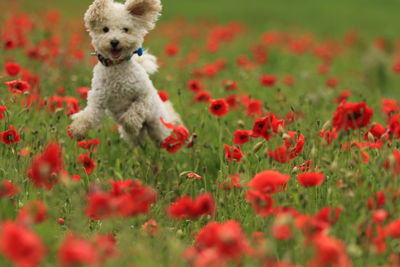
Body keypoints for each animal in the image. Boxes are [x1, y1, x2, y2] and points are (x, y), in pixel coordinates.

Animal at [69, 0, 181, 147]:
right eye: (105, 29)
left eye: (126, 29)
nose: (114, 41)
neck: (116, 67)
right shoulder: (98, 100)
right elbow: (89, 114)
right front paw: (78, 129)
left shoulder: (145, 96)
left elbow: (136, 109)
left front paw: (131, 124)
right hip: (134, 138)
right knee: (138, 143)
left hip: (157, 125)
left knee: (160, 136)